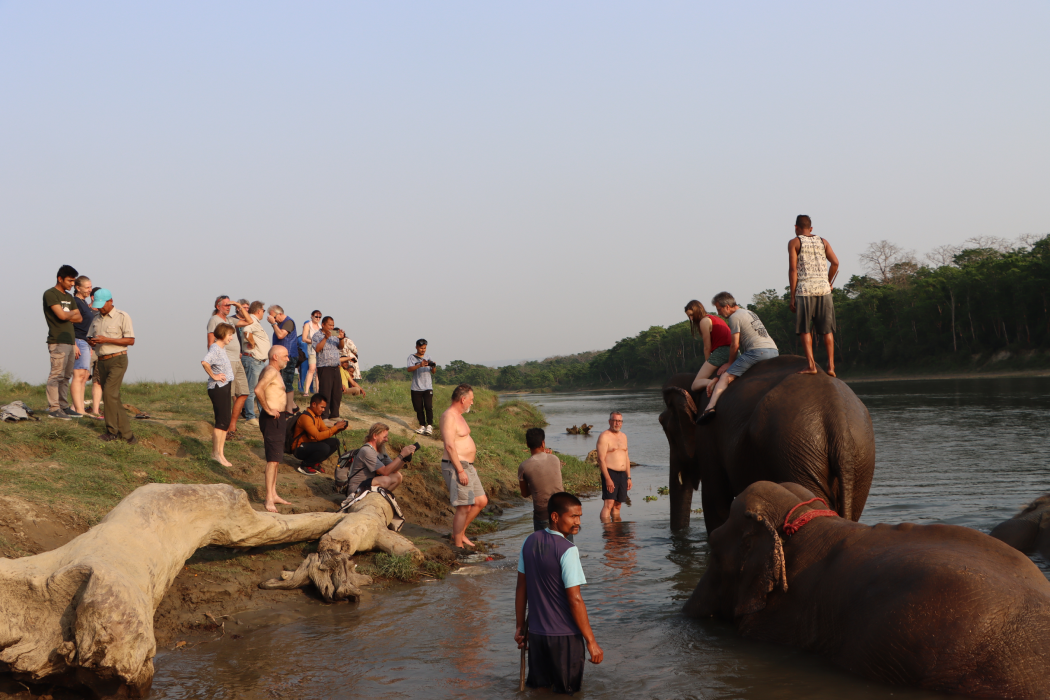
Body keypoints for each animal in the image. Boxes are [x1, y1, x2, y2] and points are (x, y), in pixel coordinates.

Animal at [659, 356, 873, 531]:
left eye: (663, 425)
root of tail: (837, 418)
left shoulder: (708, 432)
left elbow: (716, 504)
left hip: (792, 451)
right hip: (858, 459)